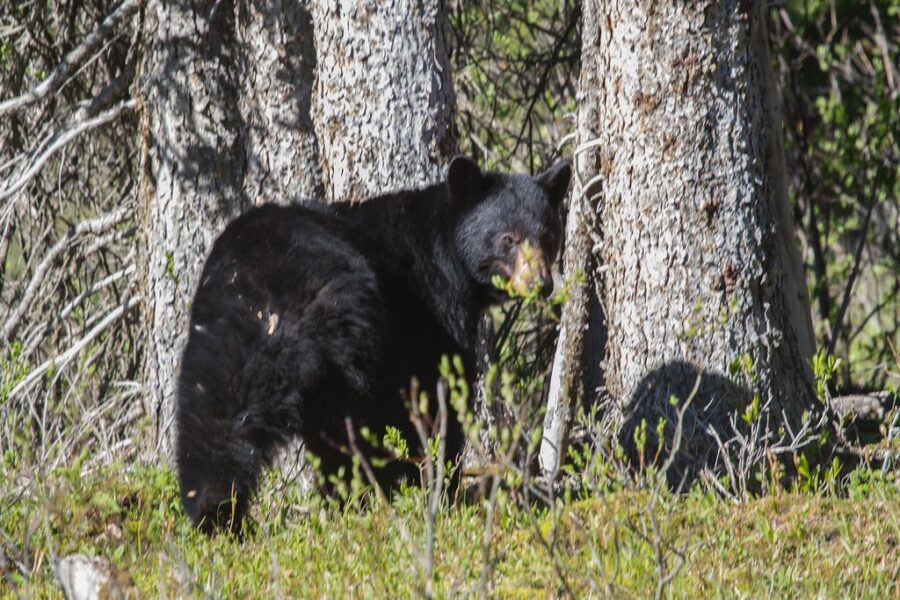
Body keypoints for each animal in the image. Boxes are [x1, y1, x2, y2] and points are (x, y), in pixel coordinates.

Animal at [175, 155, 571, 533]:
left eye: (548, 235)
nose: (540, 283)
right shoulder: (428, 309)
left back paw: (214, 512)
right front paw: (439, 485)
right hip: (352, 338)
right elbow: (432, 392)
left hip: (222, 337)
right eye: (507, 238)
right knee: (354, 425)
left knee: (213, 419)